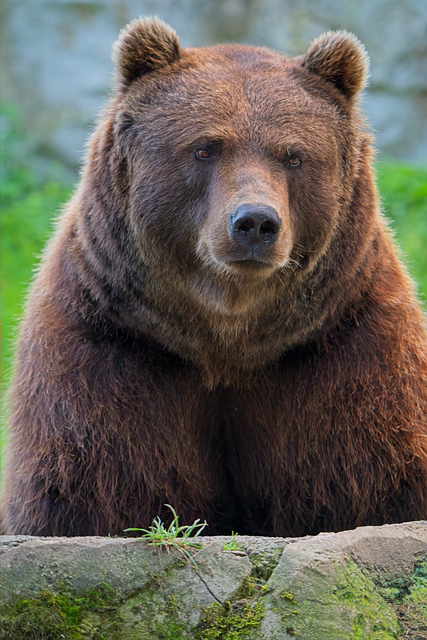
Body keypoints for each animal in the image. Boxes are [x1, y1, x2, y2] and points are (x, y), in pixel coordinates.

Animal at [2, 17, 427, 538]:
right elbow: (89, 489)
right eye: (205, 148)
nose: (255, 223)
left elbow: (372, 481)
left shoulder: (348, 351)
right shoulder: (109, 348)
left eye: (294, 155)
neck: (226, 339)